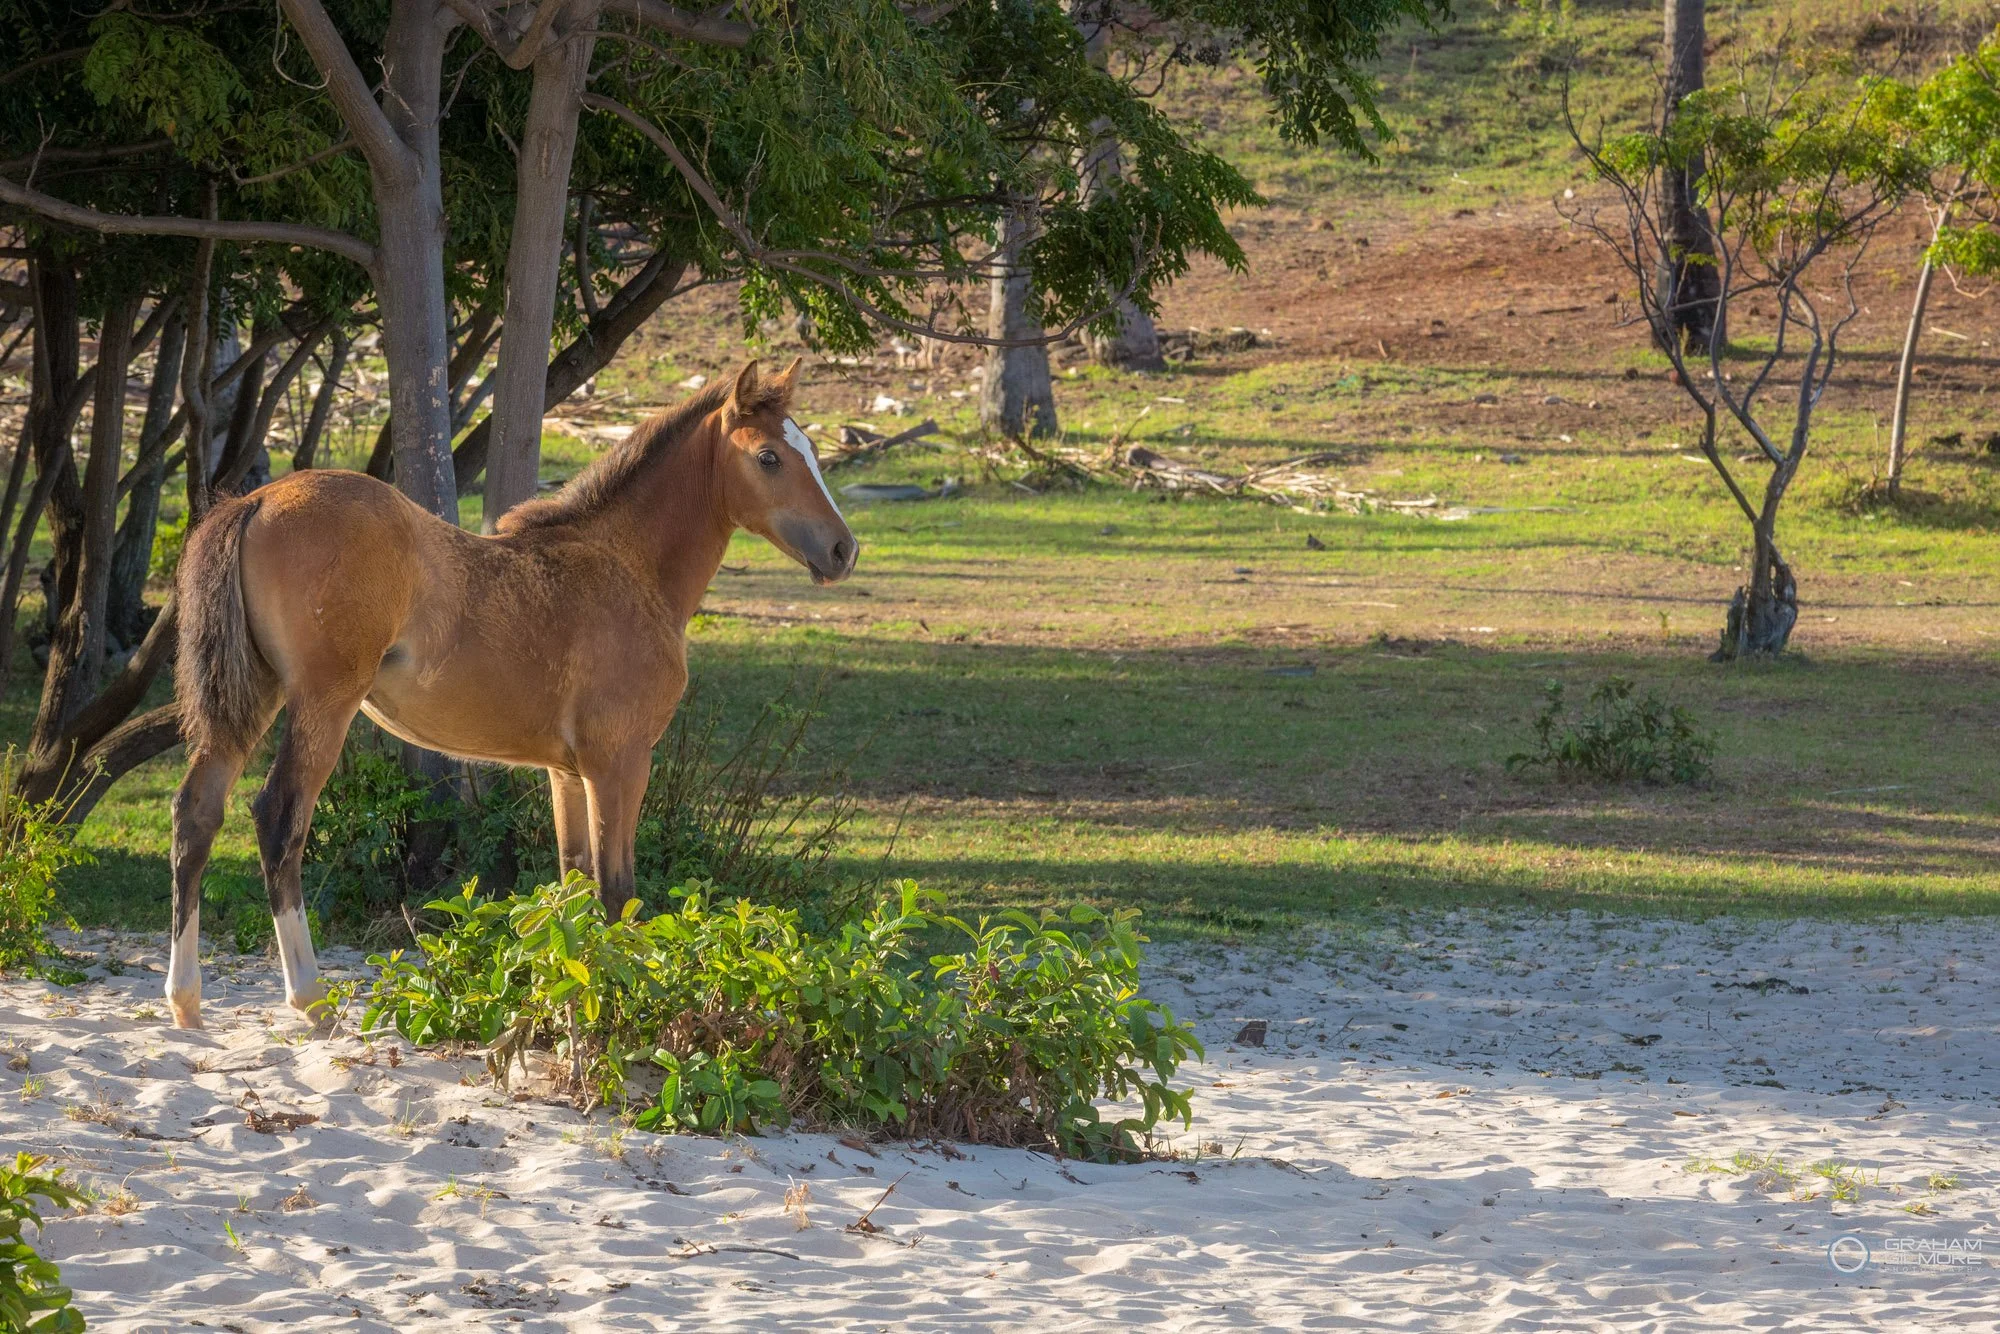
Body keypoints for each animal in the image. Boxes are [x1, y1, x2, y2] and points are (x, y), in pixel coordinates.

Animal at [164, 359, 854, 1029]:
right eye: (769, 456)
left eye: (811, 450)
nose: (843, 549)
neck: (627, 566)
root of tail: (255, 500)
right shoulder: (621, 762)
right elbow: (617, 890)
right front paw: (623, 1006)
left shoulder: (568, 773)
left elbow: (573, 886)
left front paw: (574, 1000)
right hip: (322, 703)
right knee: (279, 819)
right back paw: (309, 996)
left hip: (250, 699)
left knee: (197, 812)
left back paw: (186, 1000)